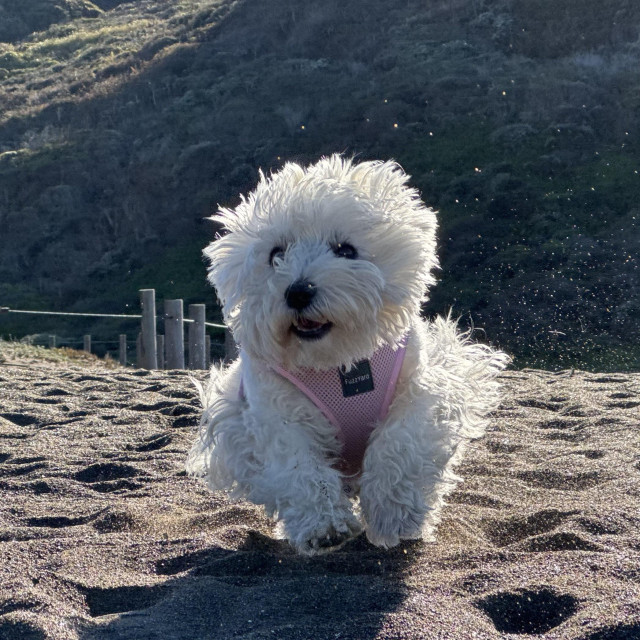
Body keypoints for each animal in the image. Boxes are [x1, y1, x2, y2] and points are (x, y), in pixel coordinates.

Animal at [186, 155, 510, 556]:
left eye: (345, 250)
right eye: (276, 254)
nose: (298, 291)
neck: (338, 360)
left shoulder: (419, 393)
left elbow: (399, 445)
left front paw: (396, 517)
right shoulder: (273, 416)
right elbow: (300, 468)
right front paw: (325, 527)